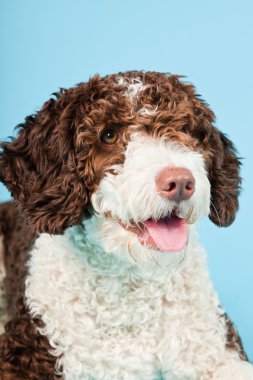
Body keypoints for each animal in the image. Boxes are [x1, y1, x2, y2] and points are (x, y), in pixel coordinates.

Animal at [0, 72, 253, 380]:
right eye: (108, 134)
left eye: (186, 130)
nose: (180, 182)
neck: (132, 289)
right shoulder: (25, 351)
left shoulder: (216, 351)